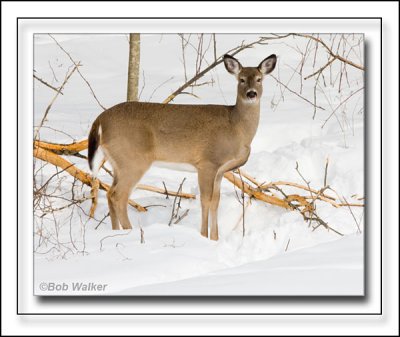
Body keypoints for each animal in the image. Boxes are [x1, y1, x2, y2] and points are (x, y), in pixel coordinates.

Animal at [88, 53, 276, 240]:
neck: (236, 127)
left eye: (259, 79)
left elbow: (216, 201)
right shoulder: (207, 162)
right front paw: (203, 236)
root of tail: (100, 120)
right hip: (133, 160)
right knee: (118, 196)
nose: (251, 93)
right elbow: (205, 200)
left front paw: (215, 239)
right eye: (241, 79)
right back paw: (130, 232)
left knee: (110, 193)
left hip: (117, 162)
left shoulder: (220, 170)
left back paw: (116, 232)